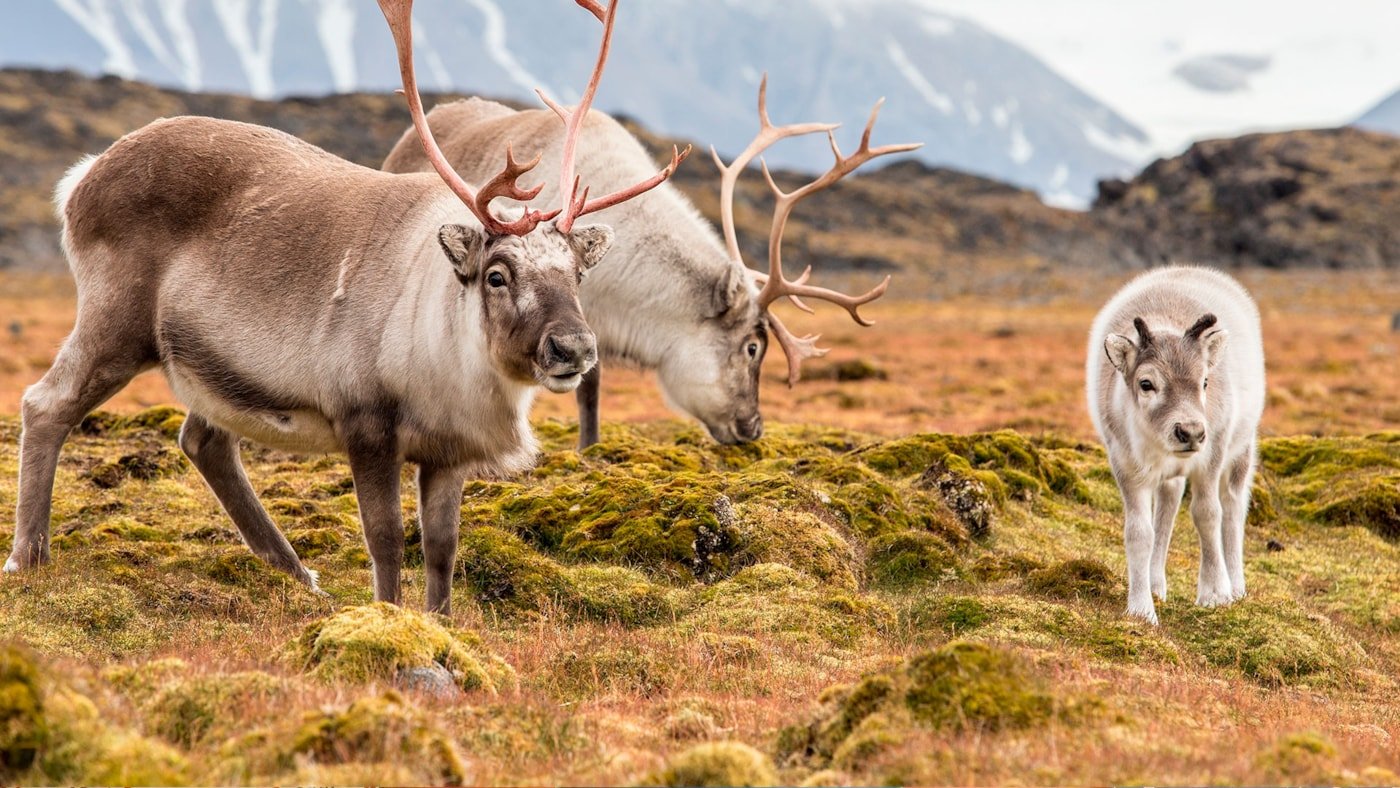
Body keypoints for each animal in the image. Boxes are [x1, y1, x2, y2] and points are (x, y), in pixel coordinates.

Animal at [1080, 268, 1271, 627]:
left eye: (1205, 381)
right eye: (1146, 383)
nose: (1190, 432)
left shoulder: (1211, 456)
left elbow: (1207, 515)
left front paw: (1214, 594)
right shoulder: (1126, 465)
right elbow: (1139, 532)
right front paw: (1141, 608)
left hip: (1241, 450)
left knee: (1233, 508)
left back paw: (1237, 586)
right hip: (1170, 476)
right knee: (1167, 509)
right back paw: (1156, 584)